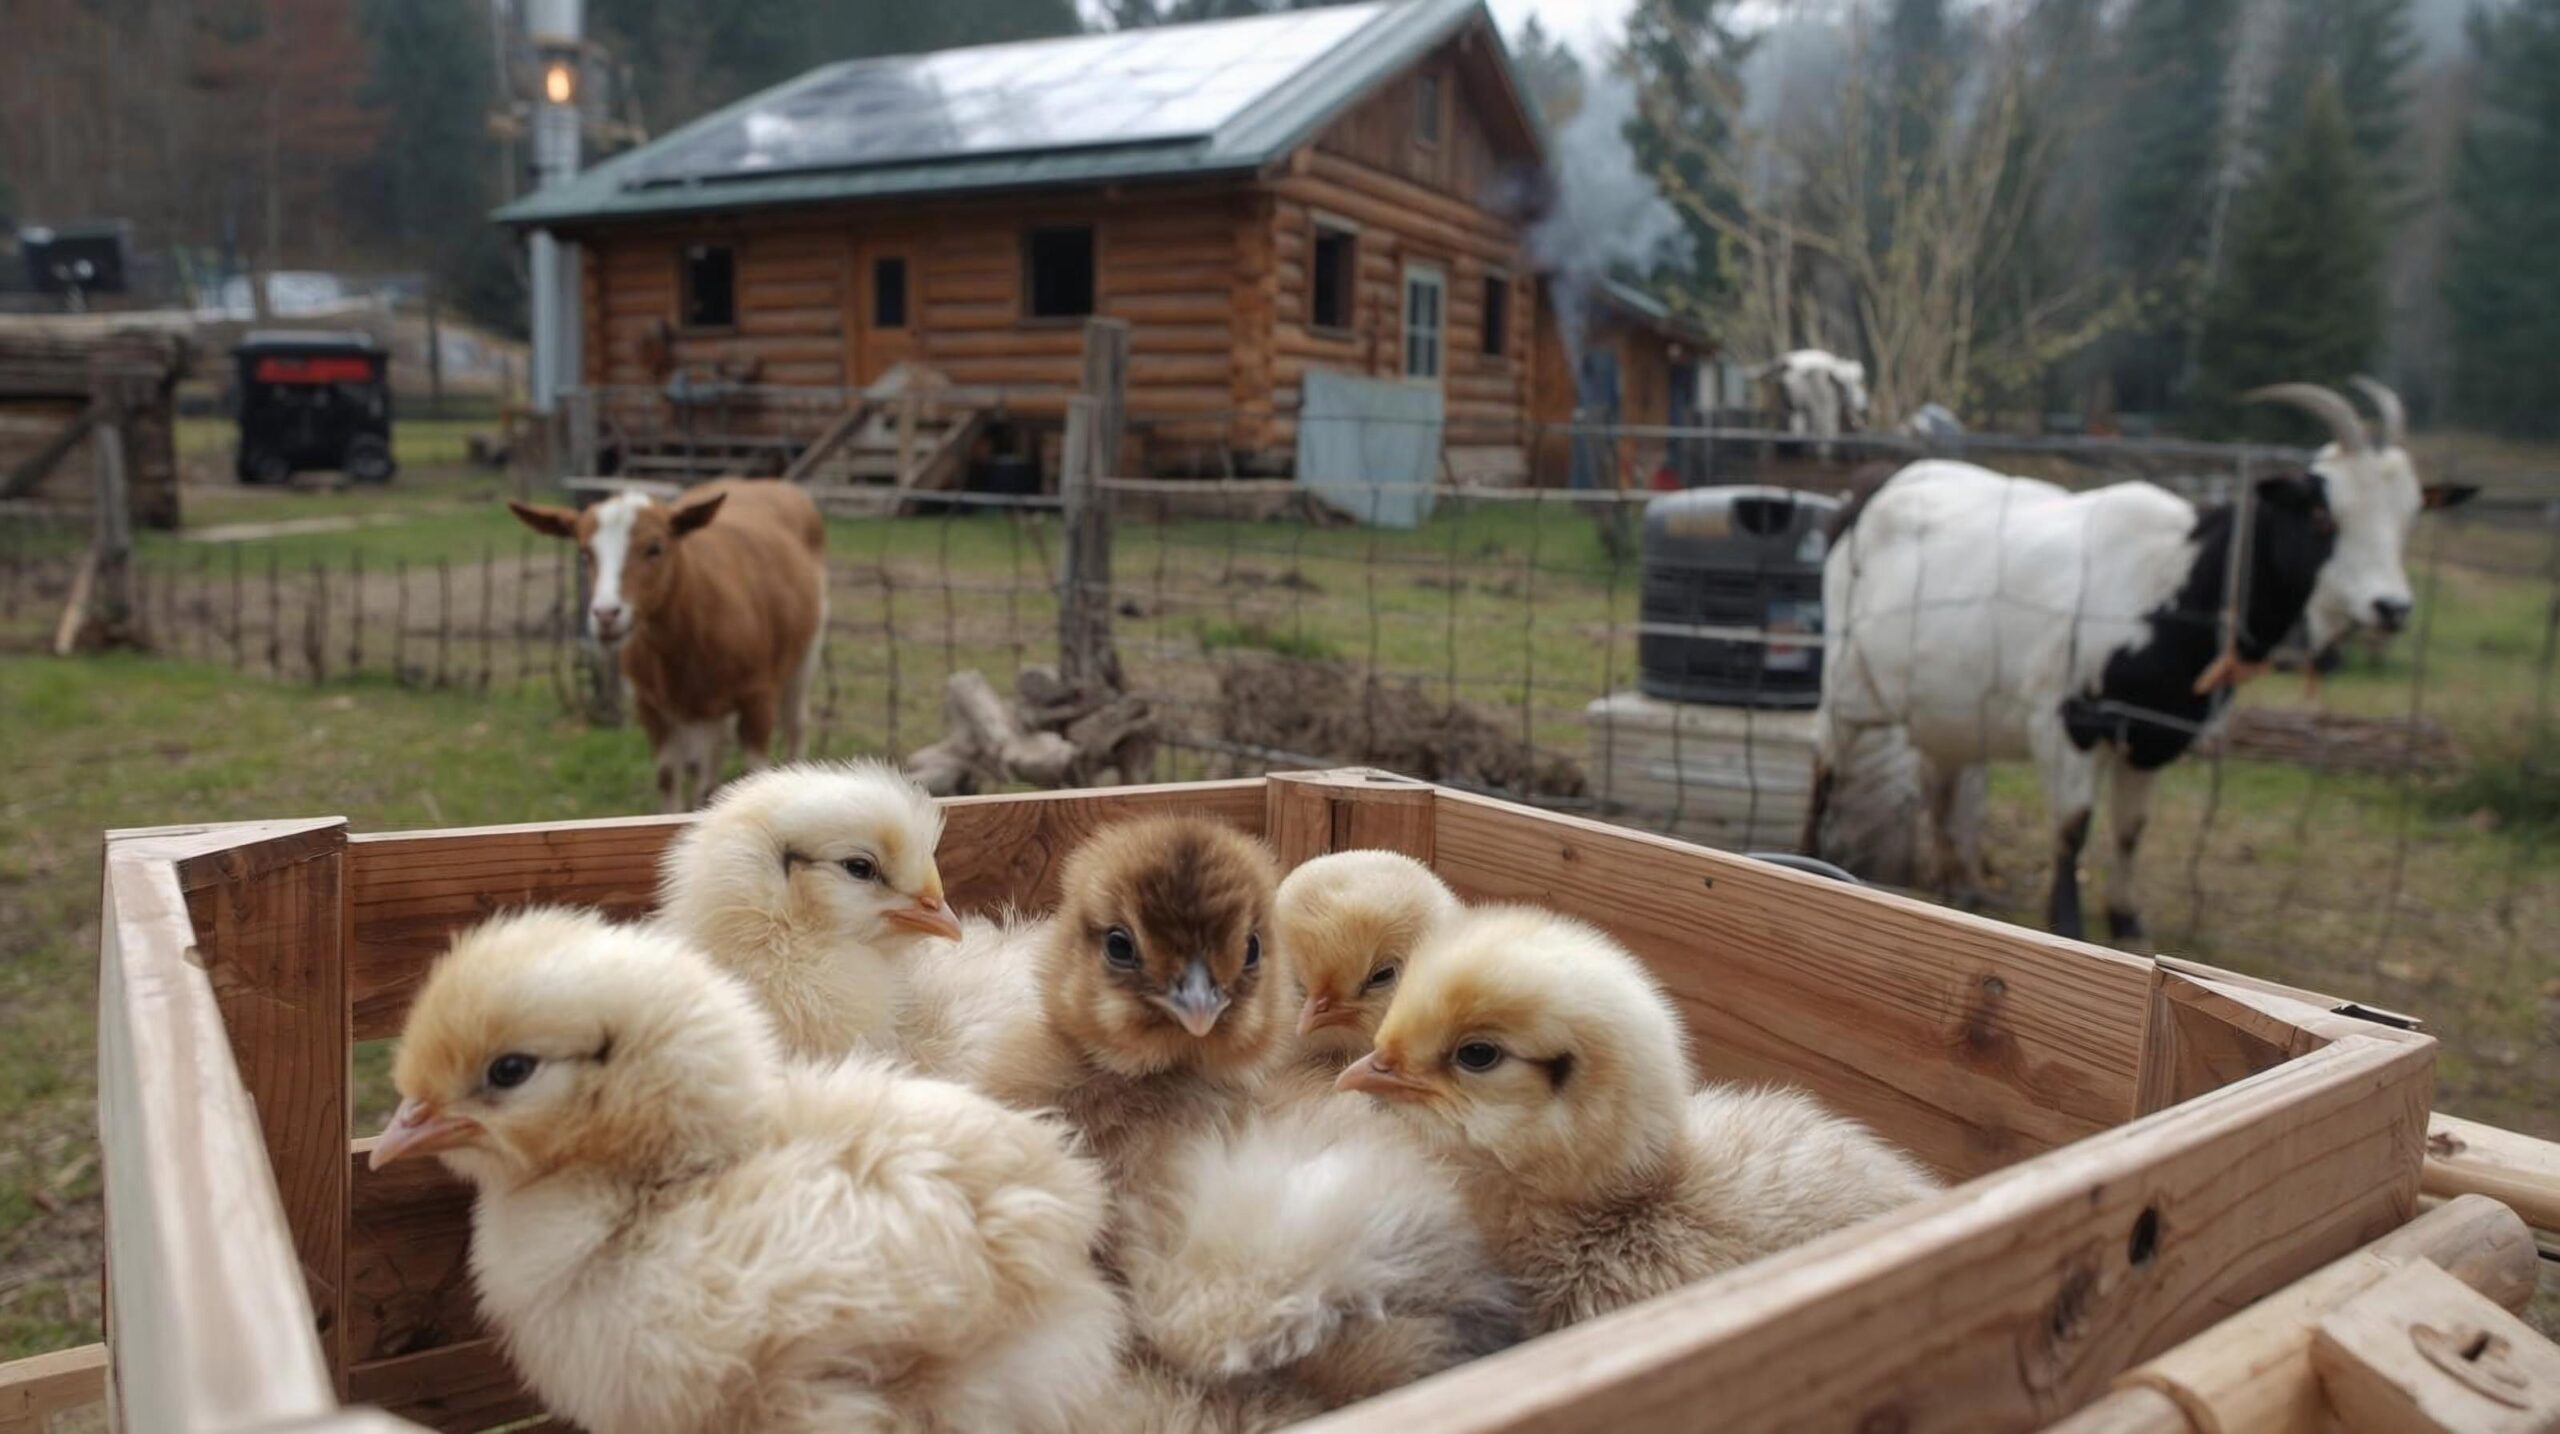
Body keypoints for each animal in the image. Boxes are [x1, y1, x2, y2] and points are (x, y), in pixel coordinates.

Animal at [510, 479, 828, 812]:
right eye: (585, 553)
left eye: (655, 548)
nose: (606, 615)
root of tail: (761, 482)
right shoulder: (649, 704)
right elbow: (667, 775)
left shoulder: (757, 697)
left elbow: (756, 774)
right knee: (711, 762)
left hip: (807, 649)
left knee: (796, 725)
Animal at [1807, 379, 2474, 941]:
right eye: (2321, 514)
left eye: (2410, 515)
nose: (2391, 607)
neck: (2174, 582)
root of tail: (1874, 487)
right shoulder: (2068, 720)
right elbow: (2073, 827)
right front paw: (2068, 922)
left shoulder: (2157, 734)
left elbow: (2130, 832)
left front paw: (2127, 921)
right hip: (1845, 678)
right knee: (1825, 762)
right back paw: (1814, 851)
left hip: (1951, 707)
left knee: (1939, 786)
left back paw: (1959, 885)